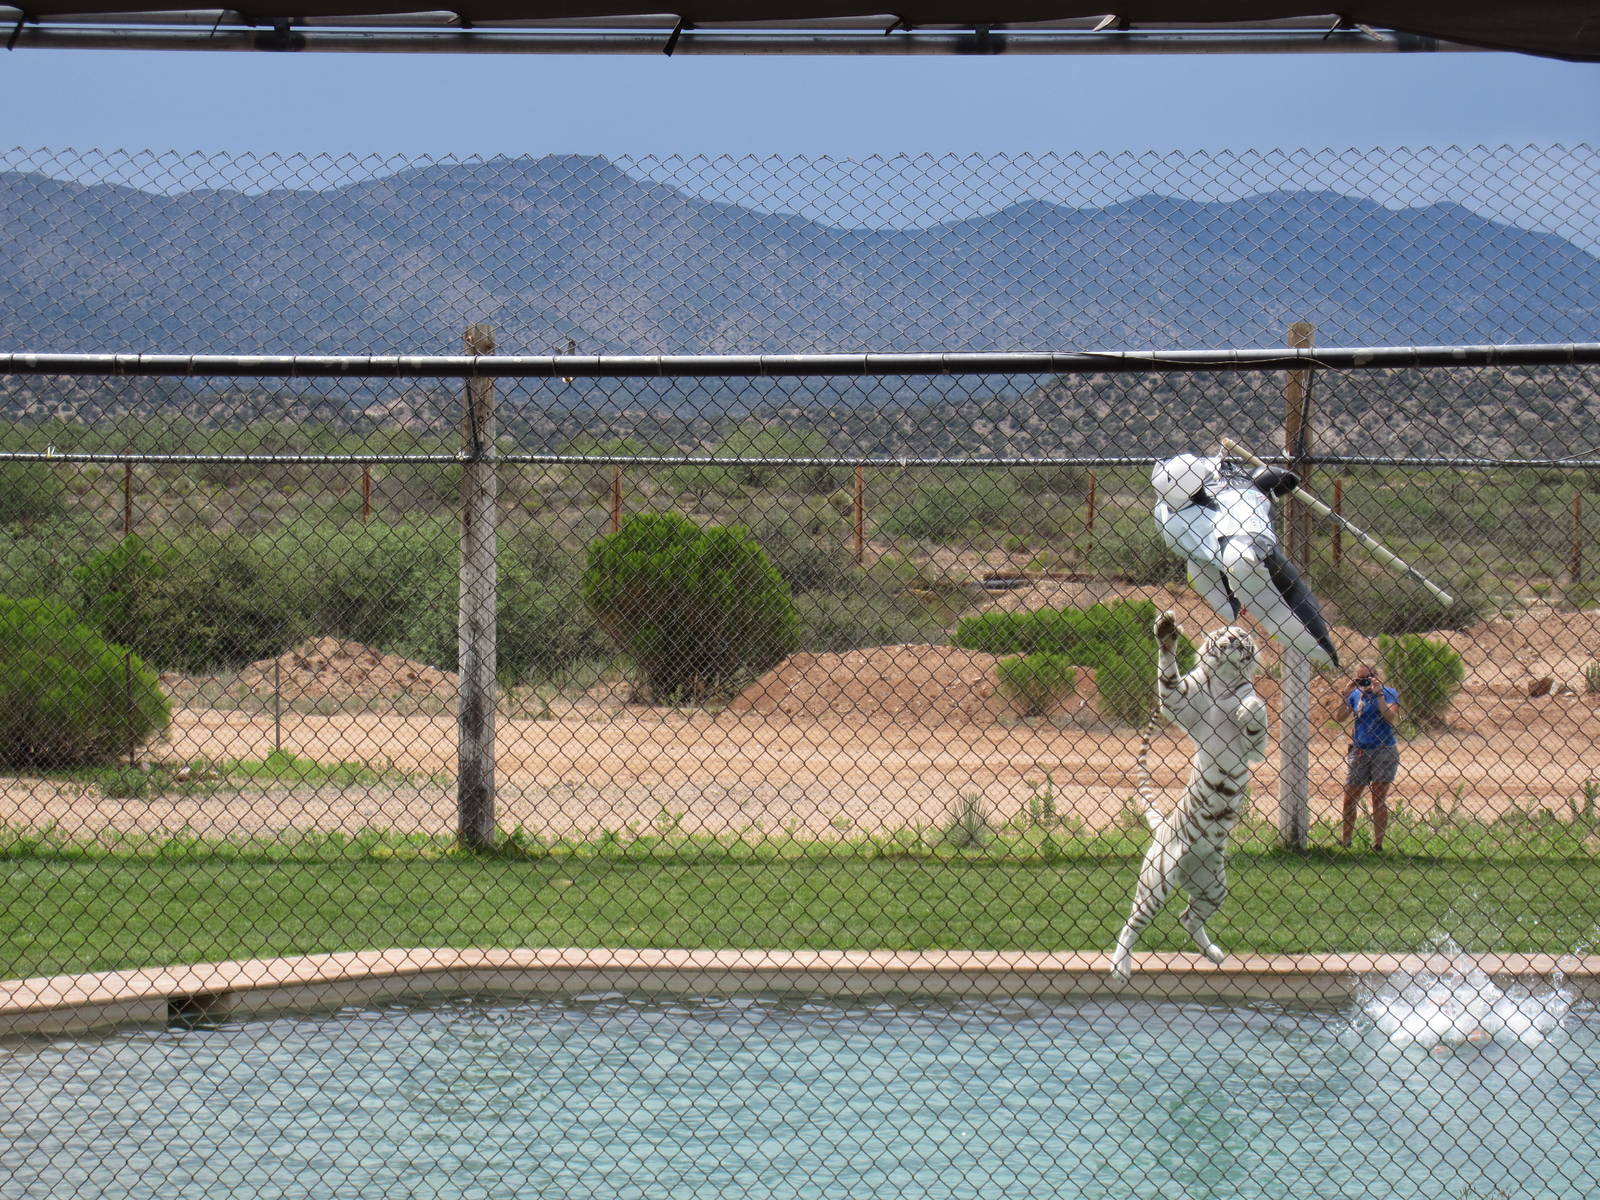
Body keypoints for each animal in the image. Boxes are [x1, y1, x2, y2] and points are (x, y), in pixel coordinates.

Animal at [1109, 610, 1268, 982]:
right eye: (1225, 635)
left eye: (1242, 636)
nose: (1237, 642)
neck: (1224, 684)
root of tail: (1162, 826)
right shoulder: (1179, 700)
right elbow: (1168, 676)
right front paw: (1167, 631)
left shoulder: (1253, 748)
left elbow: (1256, 712)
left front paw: (1249, 708)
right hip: (1155, 885)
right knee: (1131, 924)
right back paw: (1120, 967)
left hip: (1213, 887)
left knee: (1187, 916)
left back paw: (1213, 953)